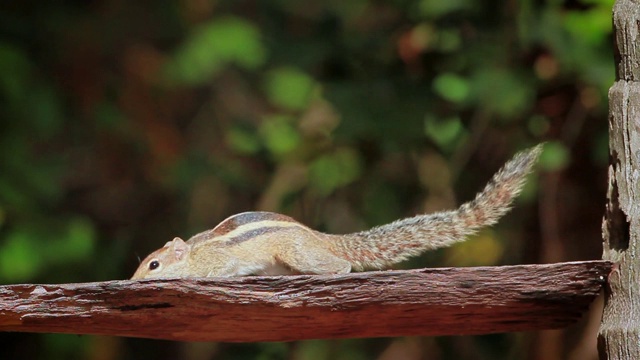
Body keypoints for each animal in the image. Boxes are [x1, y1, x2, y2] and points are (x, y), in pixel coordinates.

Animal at [132, 145, 544, 280]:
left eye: (153, 265)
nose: (134, 281)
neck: (194, 252)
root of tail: (318, 237)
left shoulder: (221, 261)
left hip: (298, 254)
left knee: (339, 265)